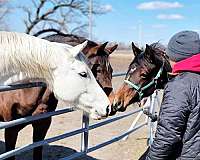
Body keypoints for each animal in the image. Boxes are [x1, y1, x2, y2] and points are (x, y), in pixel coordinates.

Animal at [0, 32, 117, 160]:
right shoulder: (11, 130)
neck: (24, 91)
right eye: (97, 69)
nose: (109, 106)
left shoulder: (42, 127)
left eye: (111, 70)